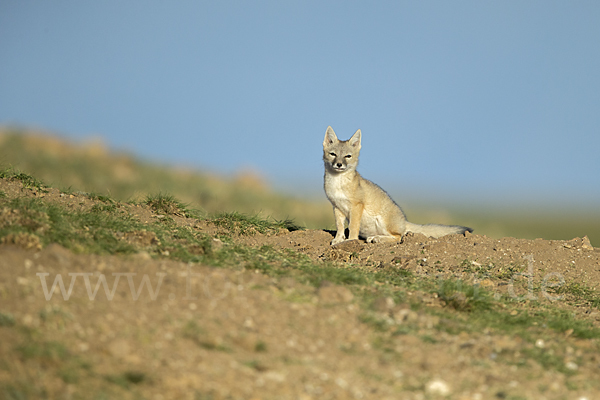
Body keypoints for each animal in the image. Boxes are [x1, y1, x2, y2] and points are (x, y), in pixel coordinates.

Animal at [322, 126, 472, 244]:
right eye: (333, 154)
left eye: (348, 156)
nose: (339, 164)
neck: (337, 183)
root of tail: (404, 220)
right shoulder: (337, 207)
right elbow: (340, 227)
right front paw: (338, 239)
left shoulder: (357, 205)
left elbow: (353, 227)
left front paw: (351, 240)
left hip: (383, 223)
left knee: (399, 237)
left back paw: (378, 239)